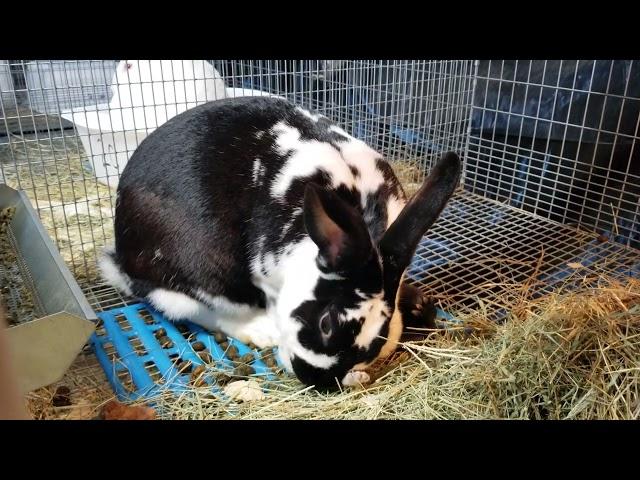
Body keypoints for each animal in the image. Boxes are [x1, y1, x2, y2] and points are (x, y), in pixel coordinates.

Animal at [100, 95, 460, 392]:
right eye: (325, 323)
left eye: (377, 340)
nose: (316, 380)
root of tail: (121, 260)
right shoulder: (265, 277)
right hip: (203, 272)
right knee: (195, 307)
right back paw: (261, 331)